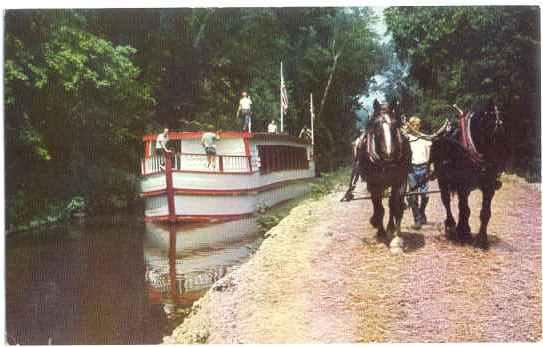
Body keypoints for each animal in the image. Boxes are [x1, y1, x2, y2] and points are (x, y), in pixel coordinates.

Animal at [362, 99, 412, 251]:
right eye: (376, 125)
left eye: (395, 125)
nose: (388, 153)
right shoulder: (373, 184)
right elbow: (379, 209)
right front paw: (381, 232)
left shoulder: (400, 181)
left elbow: (396, 207)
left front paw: (396, 238)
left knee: (391, 204)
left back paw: (390, 228)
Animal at [430, 100, 510, 250]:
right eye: (492, 132)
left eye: (504, 132)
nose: (498, 164)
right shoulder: (462, 184)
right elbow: (465, 209)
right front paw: (463, 232)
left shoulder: (488, 186)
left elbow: (485, 213)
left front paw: (482, 240)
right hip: (443, 179)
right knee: (446, 201)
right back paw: (452, 225)